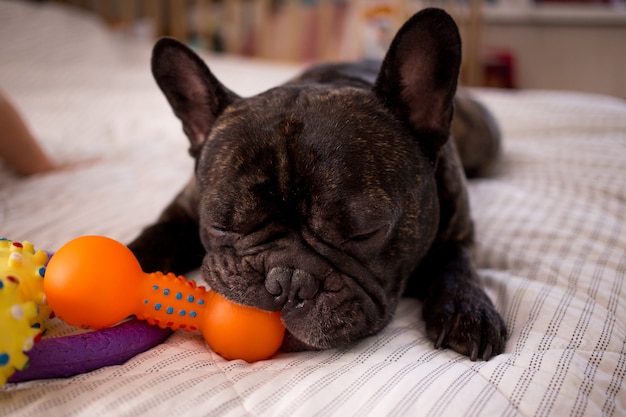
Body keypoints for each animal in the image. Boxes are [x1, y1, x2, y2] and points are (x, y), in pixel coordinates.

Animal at [129, 8, 504, 360]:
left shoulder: (460, 228)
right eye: (221, 226)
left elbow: (456, 260)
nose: (287, 280)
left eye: (365, 233)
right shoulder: (181, 209)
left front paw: (467, 308)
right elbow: (153, 237)